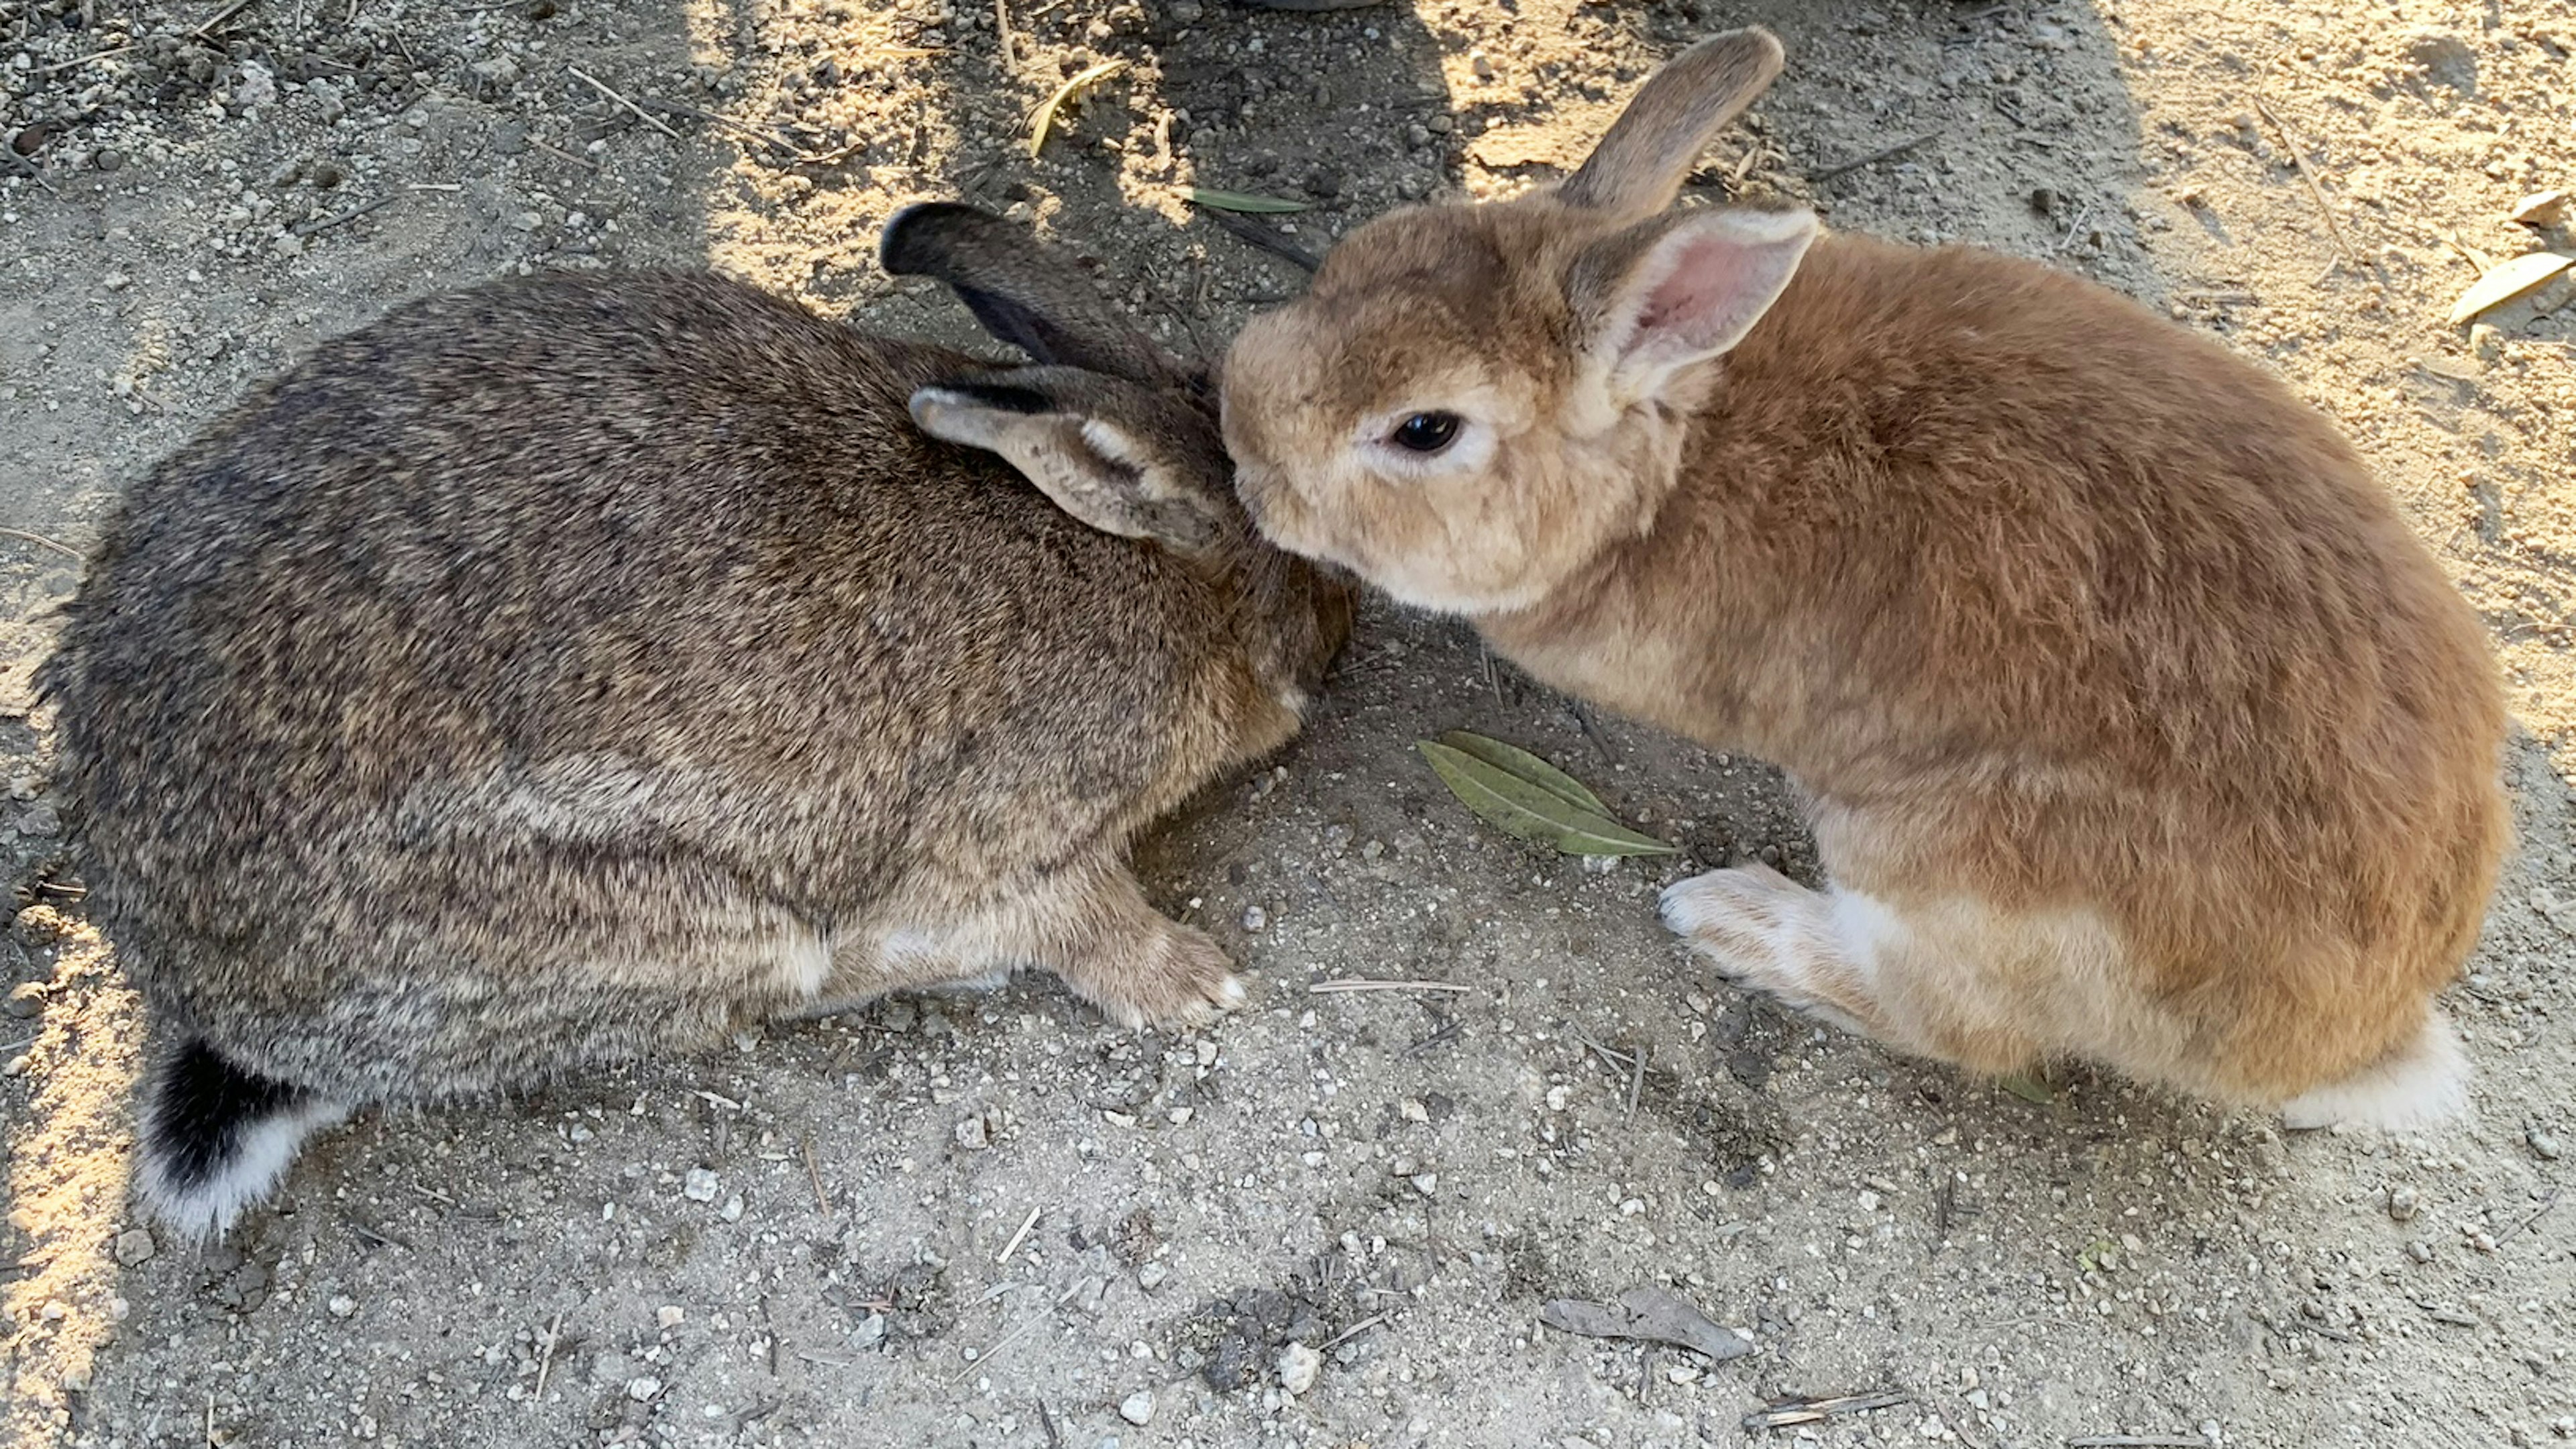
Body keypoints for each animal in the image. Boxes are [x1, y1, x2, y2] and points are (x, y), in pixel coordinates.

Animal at [1216, 28, 2504, 1124]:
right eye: (1355, 256)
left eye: (1424, 430)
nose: (1242, 455)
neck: (1668, 463)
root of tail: (2353, 1038)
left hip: (1945, 863)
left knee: (1953, 1026)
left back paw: (1733, 918)